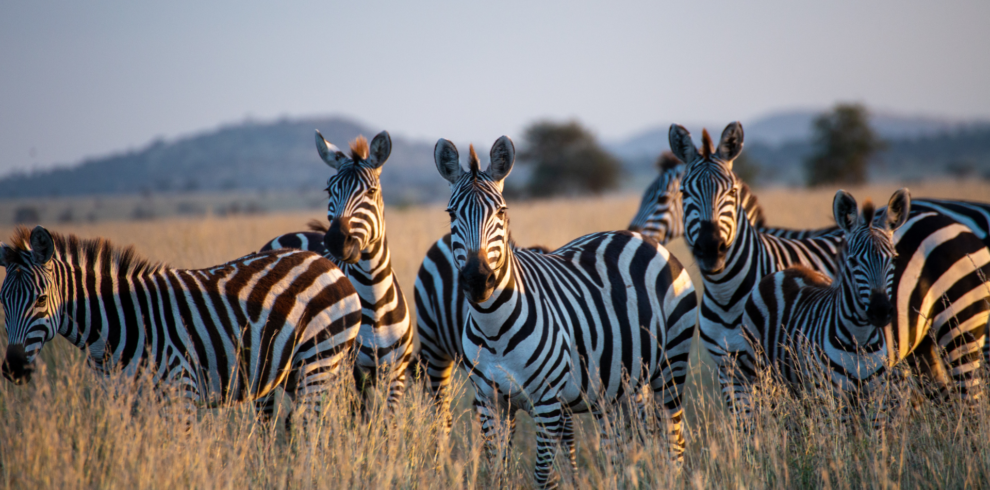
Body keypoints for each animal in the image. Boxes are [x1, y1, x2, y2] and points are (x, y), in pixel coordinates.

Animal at [0, 224, 364, 426]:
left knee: (312, 428)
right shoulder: (121, 401)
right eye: (2, 302)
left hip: (318, 360)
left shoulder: (180, 392)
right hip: (291, 372)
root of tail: (325, 262)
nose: (13, 368)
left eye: (41, 299)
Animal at [260, 130, 414, 414]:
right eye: (329, 189)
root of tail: (290, 235)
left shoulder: (395, 374)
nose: (335, 240)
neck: (374, 298)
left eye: (372, 191)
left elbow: (387, 423)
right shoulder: (350, 374)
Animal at [432, 136, 696, 488]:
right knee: (619, 451)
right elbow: (498, 473)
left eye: (501, 211)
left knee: (673, 441)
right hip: (616, 386)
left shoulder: (547, 404)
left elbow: (543, 476)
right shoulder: (489, 402)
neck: (494, 326)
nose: (477, 279)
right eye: (451, 214)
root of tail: (642, 238)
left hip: (671, 365)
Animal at [740, 189, 912, 424]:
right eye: (853, 261)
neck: (859, 340)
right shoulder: (831, 398)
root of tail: (786, 270)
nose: (881, 311)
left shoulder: (876, 398)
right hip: (758, 372)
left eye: (893, 260)